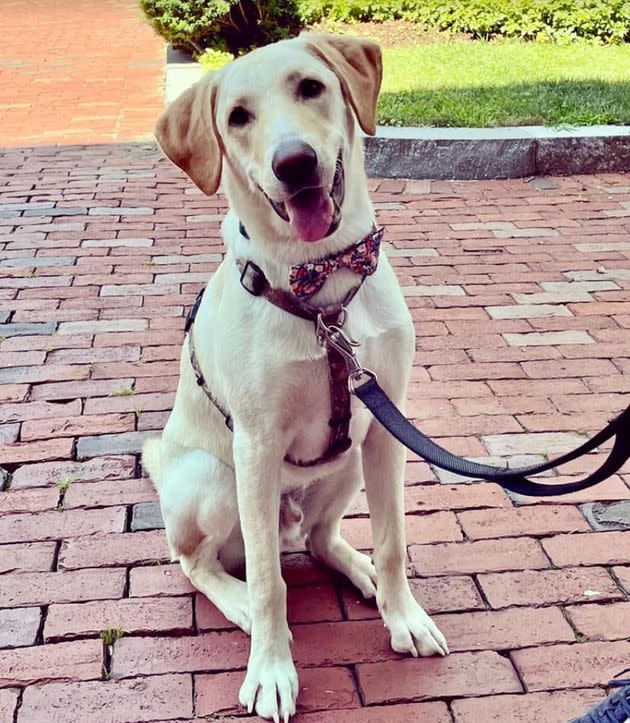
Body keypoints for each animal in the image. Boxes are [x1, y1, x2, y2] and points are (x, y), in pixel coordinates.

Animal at [143, 32, 450, 723]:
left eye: (311, 87)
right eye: (237, 117)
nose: (294, 163)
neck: (320, 283)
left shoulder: (387, 428)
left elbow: (392, 542)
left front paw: (403, 615)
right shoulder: (255, 447)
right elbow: (267, 581)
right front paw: (271, 670)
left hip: (349, 461)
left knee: (316, 538)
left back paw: (358, 570)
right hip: (213, 477)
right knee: (199, 561)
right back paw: (232, 601)